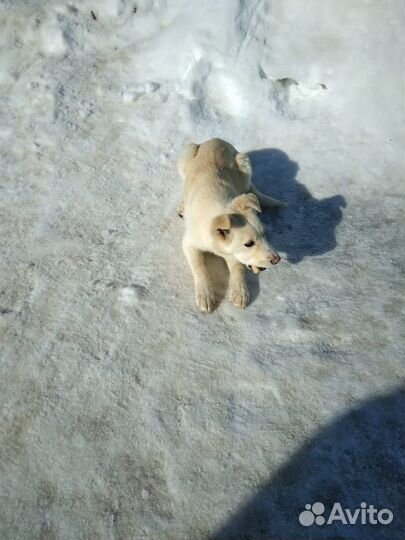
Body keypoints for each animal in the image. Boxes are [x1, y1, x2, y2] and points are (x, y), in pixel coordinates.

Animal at [177, 138, 284, 312]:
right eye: (249, 244)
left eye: (264, 234)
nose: (277, 259)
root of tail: (215, 139)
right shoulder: (189, 244)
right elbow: (200, 268)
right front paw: (205, 295)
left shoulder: (232, 254)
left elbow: (238, 267)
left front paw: (240, 291)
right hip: (186, 154)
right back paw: (182, 206)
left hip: (244, 162)